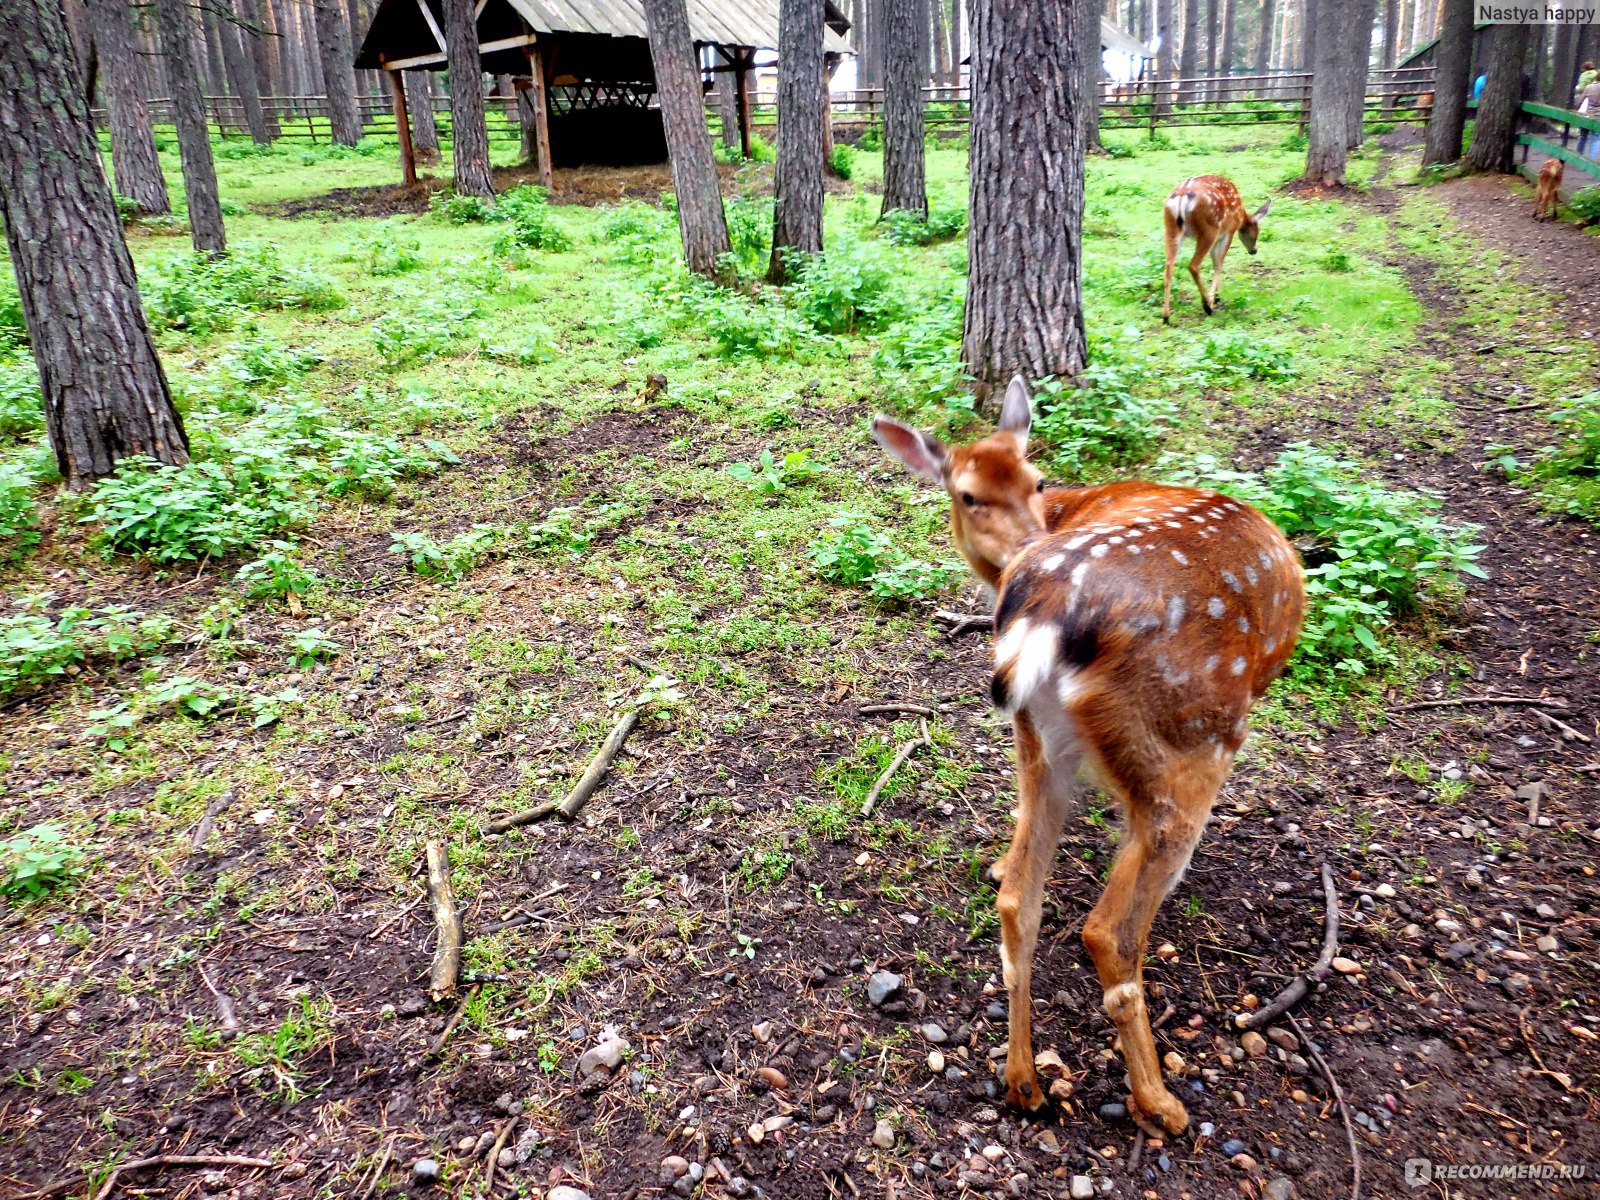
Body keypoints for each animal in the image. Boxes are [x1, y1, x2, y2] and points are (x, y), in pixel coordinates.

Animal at [870, 382, 1305, 1139]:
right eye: (966, 495)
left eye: (1037, 480)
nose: (1024, 544)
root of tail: (1044, 611)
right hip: (1192, 741)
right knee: (1110, 931)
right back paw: (1159, 1102)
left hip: (1042, 737)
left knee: (1019, 899)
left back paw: (1023, 1083)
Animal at [1158, 173, 1267, 324]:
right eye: (1256, 232)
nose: (1254, 250)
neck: (1241, 216)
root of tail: (1182, 196)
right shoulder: (1228, 231)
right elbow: (1219, 263)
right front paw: (1214, 298)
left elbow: (1215, 260)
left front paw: (1217, 295)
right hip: (1209, 228)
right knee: (1193, 265)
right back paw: (1207, 306)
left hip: (1170, 227)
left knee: (1168, 267)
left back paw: (1166, 316)